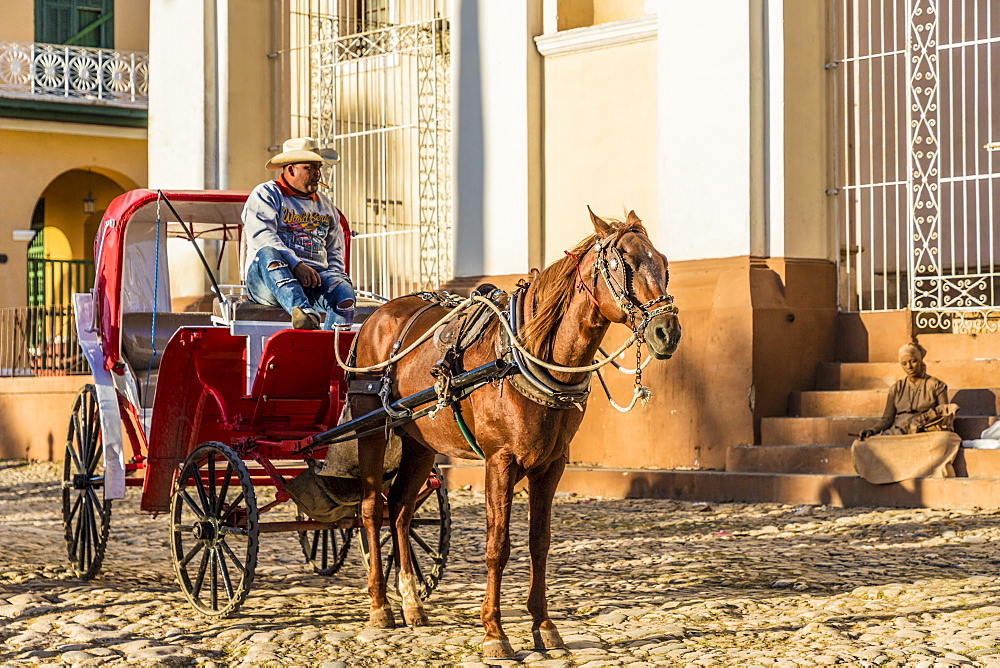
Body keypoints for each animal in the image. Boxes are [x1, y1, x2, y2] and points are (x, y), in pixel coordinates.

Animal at [350, 207, 680, 656]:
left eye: (663, 263)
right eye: (623, 265)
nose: (668, 332)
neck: (527, 356)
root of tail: (377, 316)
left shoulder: (552, 464)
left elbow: (539, 542)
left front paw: (544, 626)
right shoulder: (500, 461)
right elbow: (498, 546)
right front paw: (494, 631)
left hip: (420, 443)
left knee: (400, 508)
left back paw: (412, 603)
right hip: (370, 429)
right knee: (370, 509)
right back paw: (380, 606)